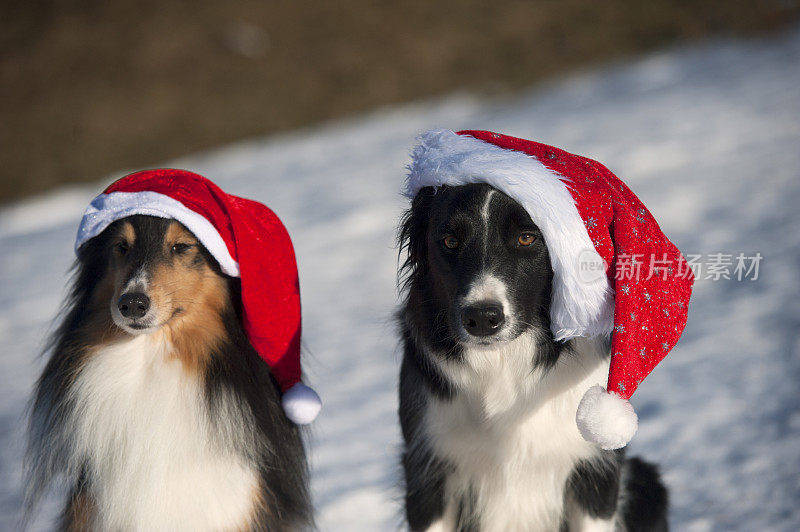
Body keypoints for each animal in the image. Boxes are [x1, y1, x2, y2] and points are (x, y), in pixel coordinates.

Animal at [396, 184, 664, 532]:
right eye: (450, 241)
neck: (503, 361)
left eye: (526, 238)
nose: (481, 318)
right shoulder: (426, 472)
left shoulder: (595, 471)